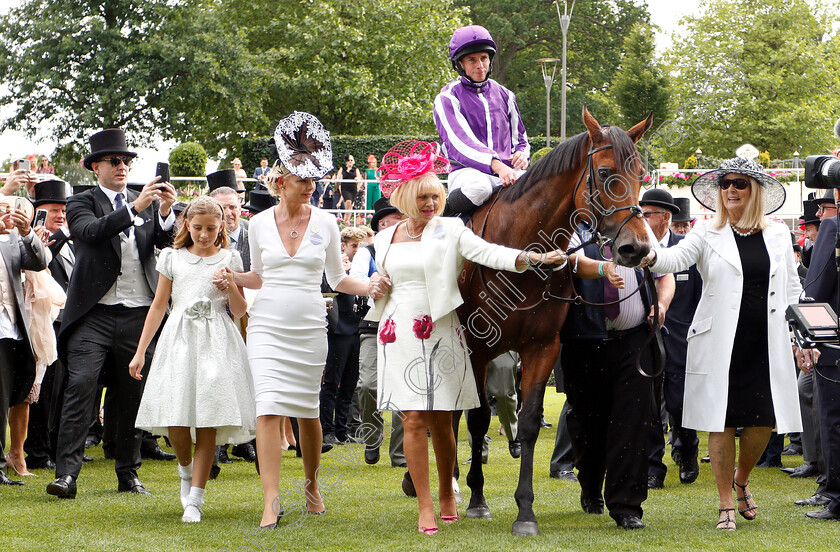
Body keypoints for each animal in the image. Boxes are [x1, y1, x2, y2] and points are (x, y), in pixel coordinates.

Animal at [456, 106, 652, 536]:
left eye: (642, 174)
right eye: (605, 173)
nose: (637, 248)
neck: (518, 248)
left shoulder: (542, 346)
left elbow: (529, 421)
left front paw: (525, 512)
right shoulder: (475, 349)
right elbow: (477, 418)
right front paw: (478, 499)